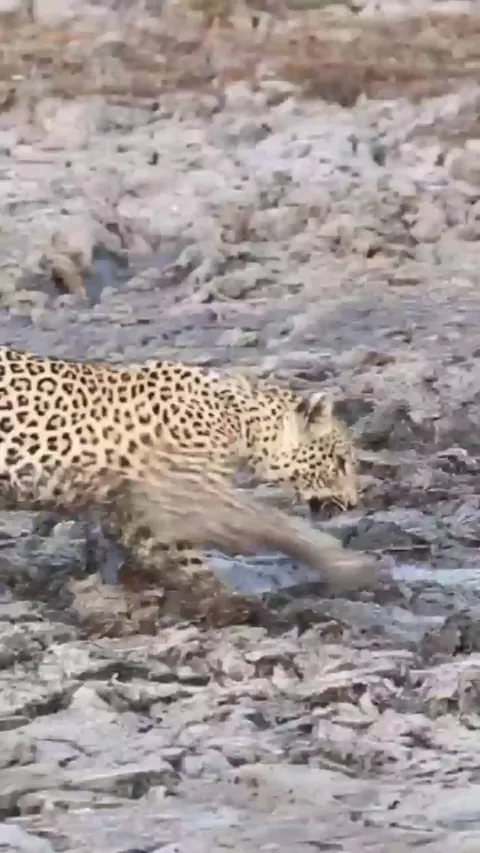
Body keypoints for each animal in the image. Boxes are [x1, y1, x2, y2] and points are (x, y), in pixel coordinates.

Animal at [0, 346, 364, 626]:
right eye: (340, 462)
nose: (352, 503)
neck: (243, 422)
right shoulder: (189, 492)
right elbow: (264, 522)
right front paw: (336, 560)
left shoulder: (138, 509)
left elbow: (169, 555)